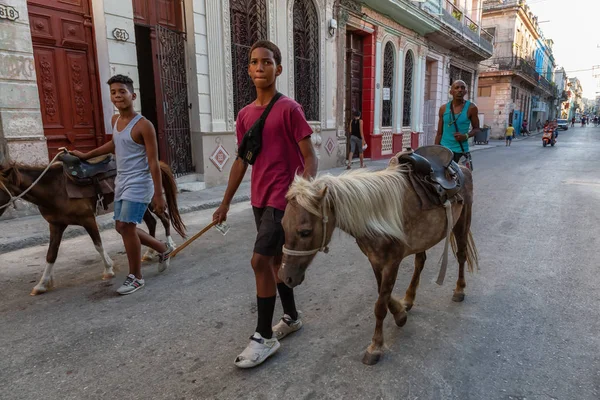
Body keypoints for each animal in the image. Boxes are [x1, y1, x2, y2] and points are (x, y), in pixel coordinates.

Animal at [0, 161, 185, 296]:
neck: (55, 189)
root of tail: (157, 163)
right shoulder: (56, 225)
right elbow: (51, 254)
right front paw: (42, 284)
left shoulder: (87, 219)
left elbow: (98, 244)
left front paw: (108, 269)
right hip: (140, 205)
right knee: (151, 223)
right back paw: (150, 252)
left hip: (153, 202)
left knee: (165, 219)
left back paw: (169, 245)